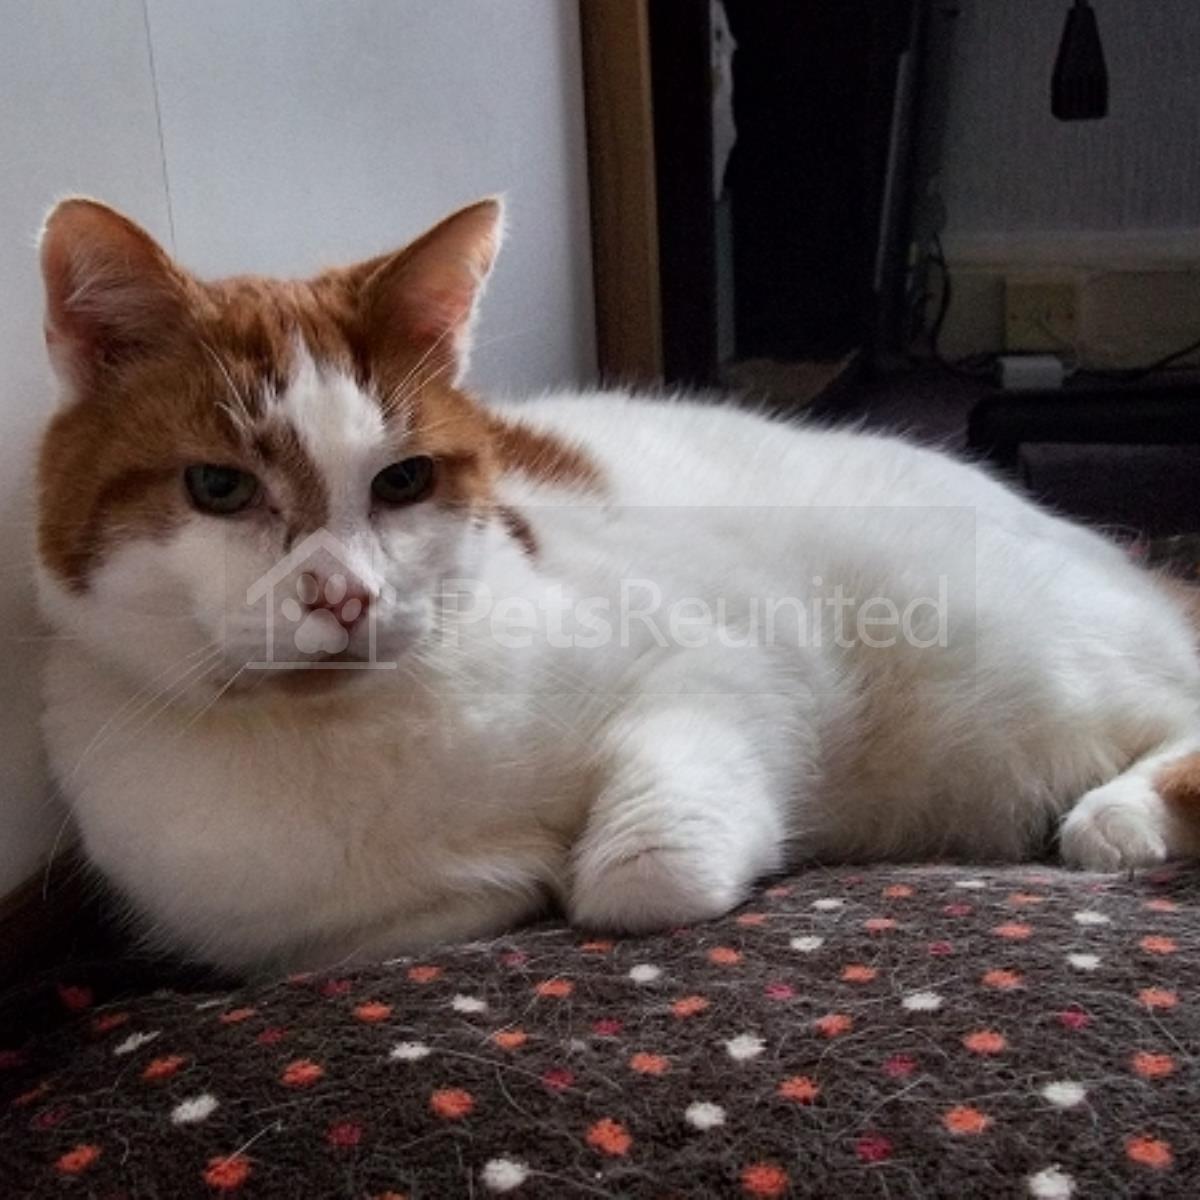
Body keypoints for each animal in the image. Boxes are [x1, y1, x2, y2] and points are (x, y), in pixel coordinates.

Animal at [35, 196, 1200, 974]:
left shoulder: (724, 668)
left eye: (403, 481)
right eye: (219, 487)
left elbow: (639, 872)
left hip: (1017, 670)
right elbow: (447, 905)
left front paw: (584, 868)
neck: (347, 739)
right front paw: (517, 872)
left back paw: (1123, 815)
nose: (343, 597)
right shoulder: (290, 937)